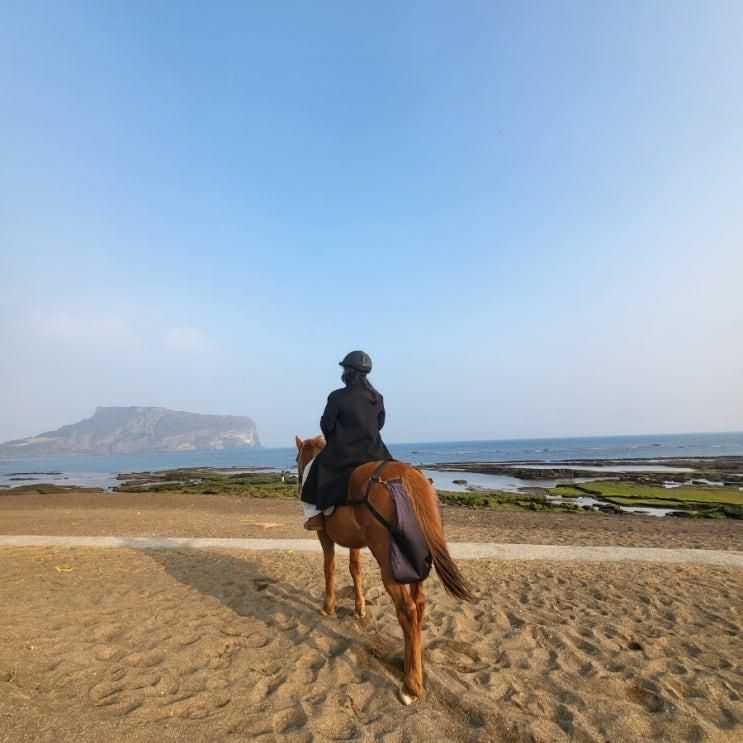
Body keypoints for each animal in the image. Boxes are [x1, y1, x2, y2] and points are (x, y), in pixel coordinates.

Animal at [294, 434, 476, 708]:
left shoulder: (324, 535)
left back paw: (411, 686)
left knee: (407, 611)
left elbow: (329, 568)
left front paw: (328, 607)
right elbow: (355, 569)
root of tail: (406, 475)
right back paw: (411, 664)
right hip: (415, 558)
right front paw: (359, 609)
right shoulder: (356, 542)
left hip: (391, 566)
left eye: (298, 459)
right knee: (419, 604)